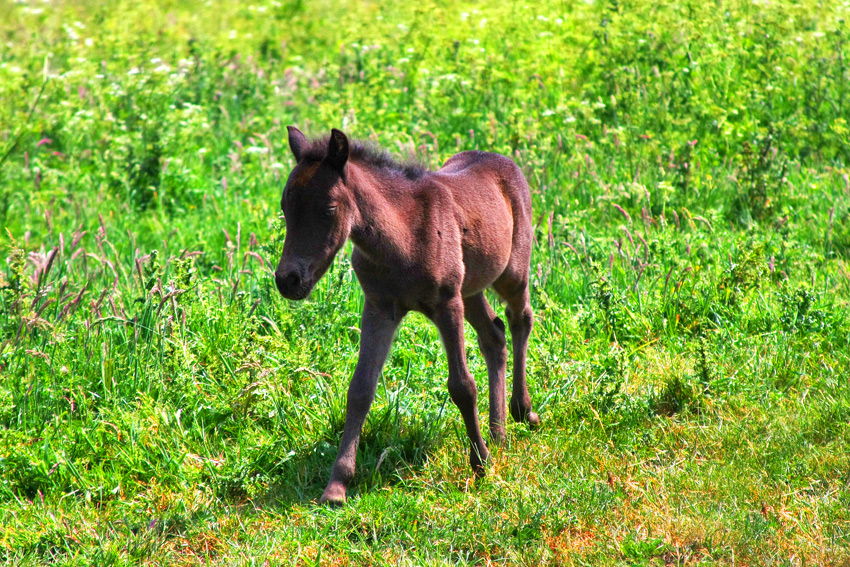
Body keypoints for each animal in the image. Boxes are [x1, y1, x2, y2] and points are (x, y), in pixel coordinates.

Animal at [274, 126, 536, 504]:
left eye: (329, 208)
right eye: (285, 207)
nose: (288, 280)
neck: (402, 239)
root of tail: (502, 159)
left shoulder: (446, 304)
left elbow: (462, 386)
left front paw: (479, 464)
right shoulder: (379, 308)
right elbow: (360, 390)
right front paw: (337, 485)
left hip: (510, 274)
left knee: (520, 319)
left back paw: (522, 411)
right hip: (471, 288)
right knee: (494, 336)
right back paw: (498, 431)